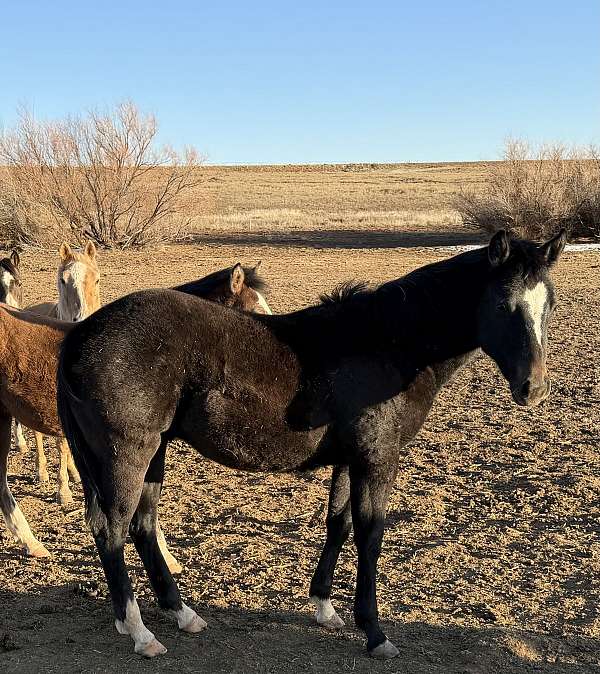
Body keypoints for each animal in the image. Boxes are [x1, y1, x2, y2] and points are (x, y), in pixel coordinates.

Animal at [56, 230, 566, 660]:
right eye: (502, 304)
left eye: (550, 304)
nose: (533, 389)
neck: (389, 343)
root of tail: (80, 335)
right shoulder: (377, 459)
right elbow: (370, 536)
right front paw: (375, 632)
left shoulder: (350, 459)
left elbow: (337, 525)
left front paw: (325, 607)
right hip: (129, 454)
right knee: (112, 529)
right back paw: (140, 632)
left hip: (154, 453)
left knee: (142, 526)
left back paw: (181, 614)